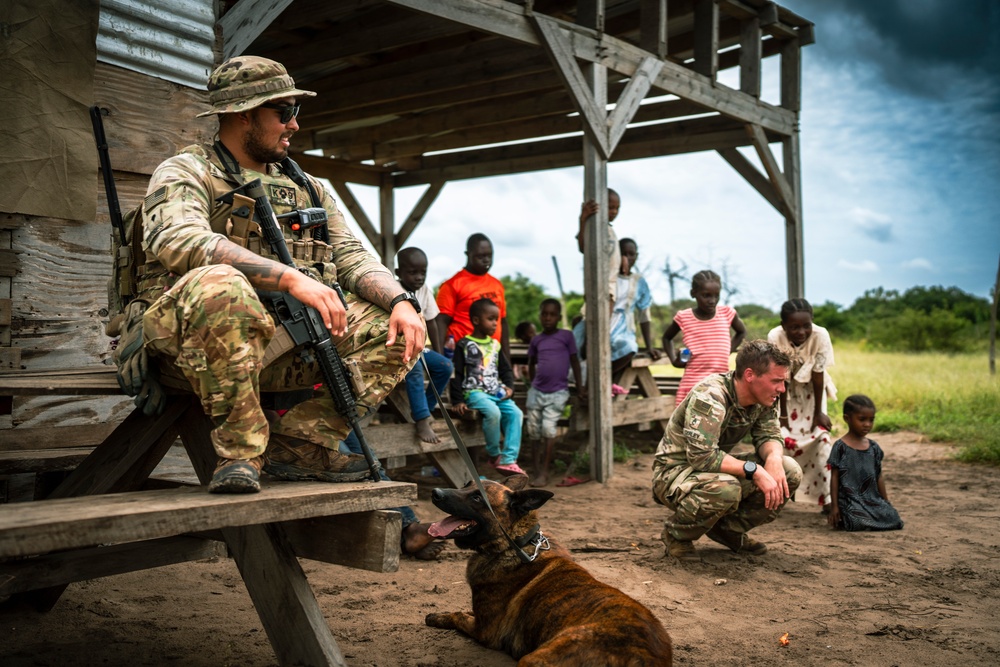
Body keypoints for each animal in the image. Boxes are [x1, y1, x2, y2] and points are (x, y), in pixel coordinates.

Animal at [424, 478, 672, 664]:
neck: (513, 544)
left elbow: (458, 615)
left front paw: (437, 617)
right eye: (465, 484)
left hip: (534, 658)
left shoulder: (485, 630)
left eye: (477, 497)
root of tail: (645, 658)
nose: (435, 492)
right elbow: (465, 611)